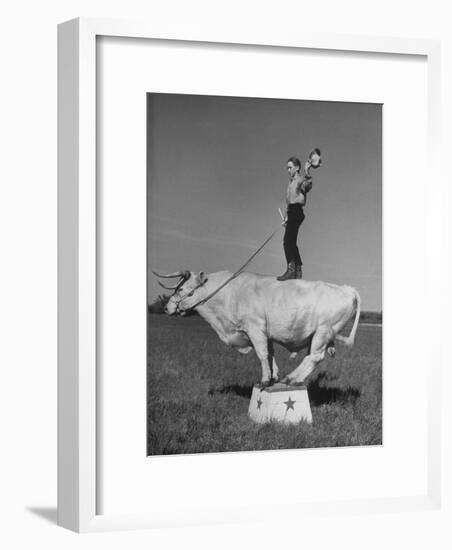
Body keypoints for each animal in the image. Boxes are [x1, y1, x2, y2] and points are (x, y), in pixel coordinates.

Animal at [159, 272, 360, 388]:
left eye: (181, 289)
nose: (166, 308)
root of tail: (347, 289)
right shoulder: (264, 333)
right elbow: (270, 354)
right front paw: (273, 377)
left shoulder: (255, 328)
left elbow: (262, 354)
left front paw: (264, 380)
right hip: (319, 336)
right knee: (311, 358)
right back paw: (292, 378)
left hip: (323, 332)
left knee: (315, 357)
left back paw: (291, 378)